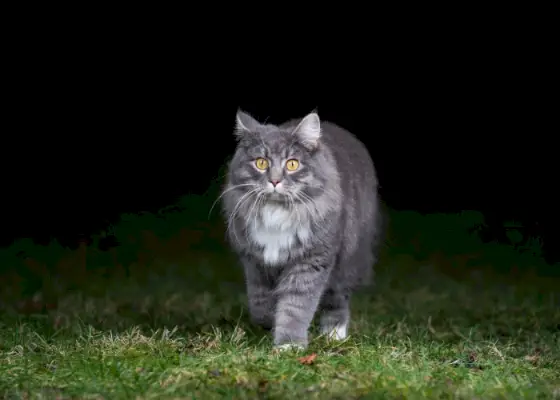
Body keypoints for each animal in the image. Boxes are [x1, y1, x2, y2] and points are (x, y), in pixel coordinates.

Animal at [219, 109, 380, 350]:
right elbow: (260, 302)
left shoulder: (310, 261)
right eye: (261, 163)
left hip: (347, 259)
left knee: (338, 298)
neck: (276, 213)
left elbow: (295, 306)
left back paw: (334, 333)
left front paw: (289, 345)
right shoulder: (255, 262)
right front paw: (270, 321)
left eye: (292, 164)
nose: (275, 181)